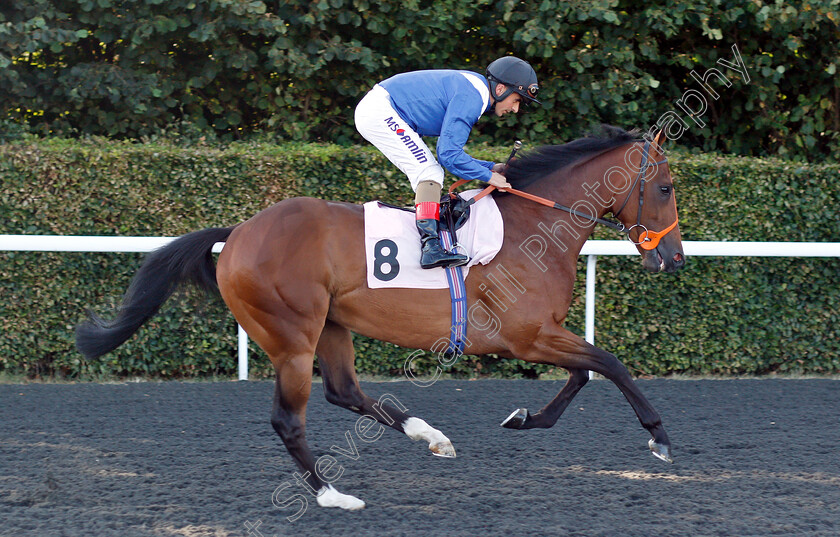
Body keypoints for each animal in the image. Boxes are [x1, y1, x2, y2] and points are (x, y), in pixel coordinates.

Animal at [77, 125, 684, 510]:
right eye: (665, 187)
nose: (674, 259)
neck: (531, 230)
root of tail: (240, 233)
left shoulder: (537, 336)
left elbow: (585, 372)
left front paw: (523, 419)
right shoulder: (526, 336)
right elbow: (610, 363)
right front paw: (659, 436)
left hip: (331, 326)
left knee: (344, 391)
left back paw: (429, 435)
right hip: (292, 337)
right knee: (289, 419)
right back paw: (332, 496)